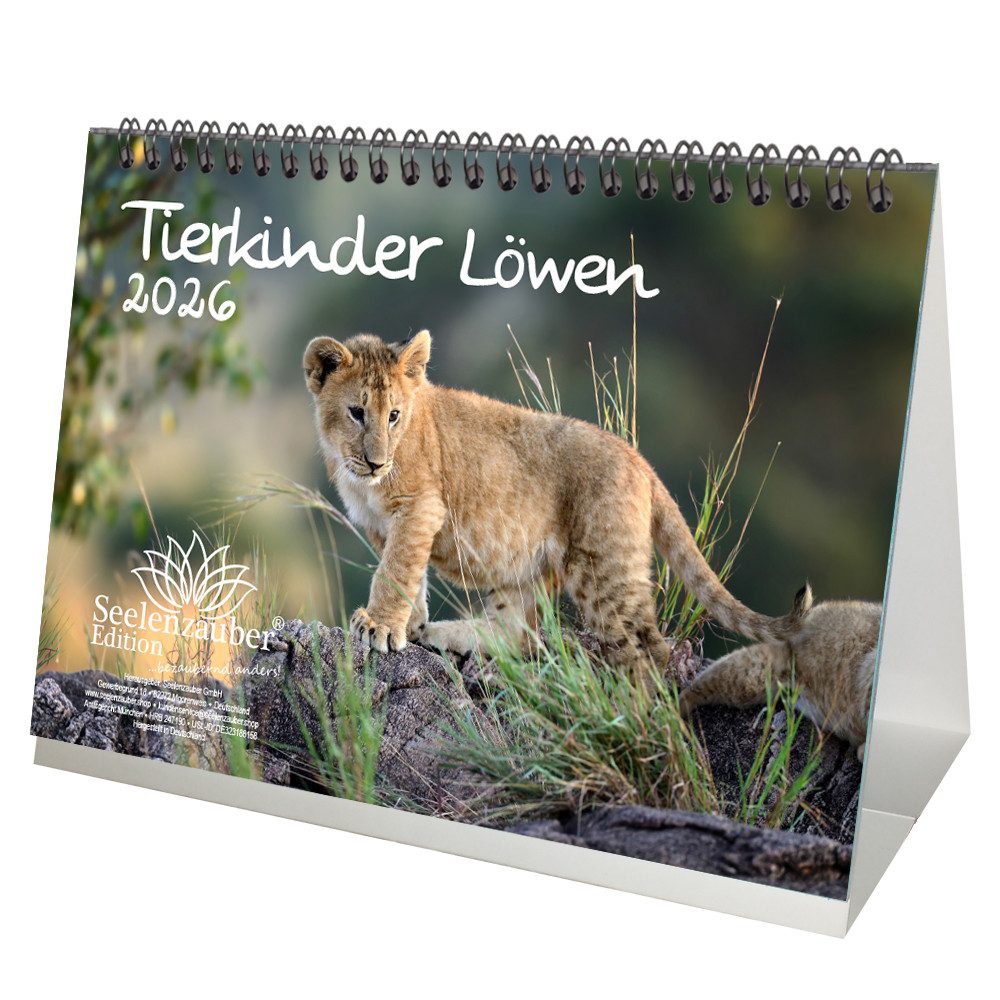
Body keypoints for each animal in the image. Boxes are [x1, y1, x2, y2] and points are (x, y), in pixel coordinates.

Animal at [304, 329, 806, 685]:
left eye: (393, 416)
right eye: (356, 412)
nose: (376, 461)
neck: (359, 476)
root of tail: (640, 462)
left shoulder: (421, 507)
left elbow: (396, 569)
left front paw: (380, 626)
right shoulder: (383, 524)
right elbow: (409, 573)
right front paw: (412, 623)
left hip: (603, 571)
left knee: (648, 649)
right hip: (527, 569)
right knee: (517, 633)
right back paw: (447, 634)